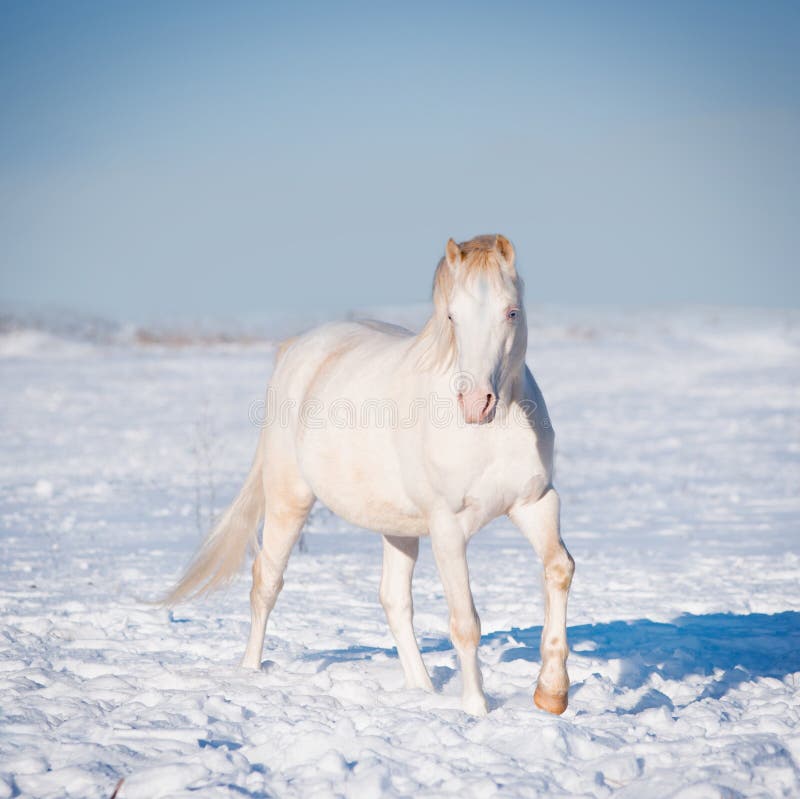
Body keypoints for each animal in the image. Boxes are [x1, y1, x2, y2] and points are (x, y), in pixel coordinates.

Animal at [166, 234, 572, 716]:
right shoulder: (448, 527)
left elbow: (559, 569)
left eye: (511, 311)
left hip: (397, 526)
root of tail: (296, 349)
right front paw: (476, 708)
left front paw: (552, 693)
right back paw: (249, 671)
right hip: (288, 501)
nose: (477, 403)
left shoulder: (535, 503)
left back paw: (422, 690)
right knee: (266, 581)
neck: (493, 433)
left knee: (393, 599)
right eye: (452, 316)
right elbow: (465, 621)